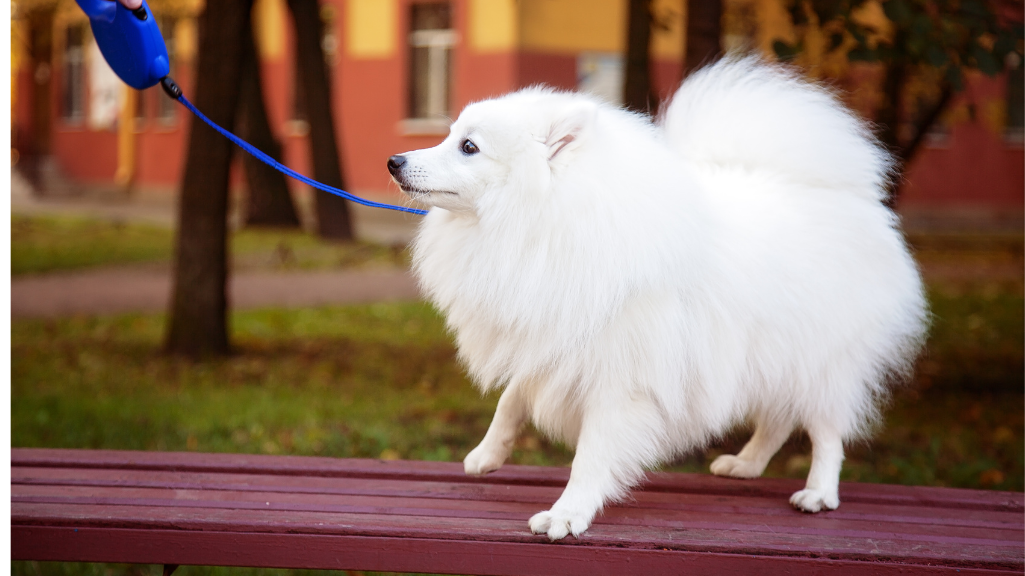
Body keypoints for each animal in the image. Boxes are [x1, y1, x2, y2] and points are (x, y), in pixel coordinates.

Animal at [385, 57, 930, 537]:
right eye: (450, 136)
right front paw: (488, 454)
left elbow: (590, 456)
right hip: (770, 356)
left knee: (826, 430)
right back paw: (746, 463)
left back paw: (818, 492)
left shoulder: (619, 377)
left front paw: (567, 515)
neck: (552, 221)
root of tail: (848, 197)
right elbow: (511, 399)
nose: (394, 160)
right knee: (777, 418)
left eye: (468, 147)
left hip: (820, 361)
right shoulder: (552, 338)